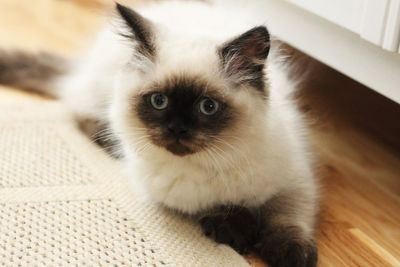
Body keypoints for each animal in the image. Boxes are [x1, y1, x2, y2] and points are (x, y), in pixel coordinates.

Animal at [0, 1, 318, 266]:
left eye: (208, 107)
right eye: (159, 101)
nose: (177, 129)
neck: (210, 162)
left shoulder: (296, 181)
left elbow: (287, 216)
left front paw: (290, 255)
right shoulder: (181, 199)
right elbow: (224, 209)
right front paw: (236, 230)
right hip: (98, 94)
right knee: (79, 110)